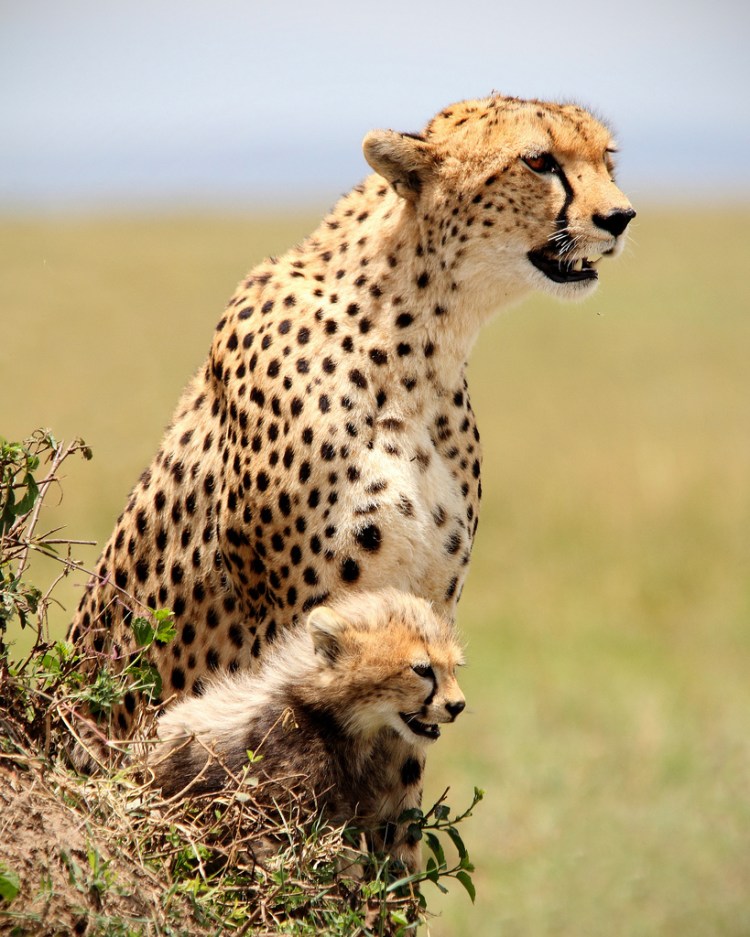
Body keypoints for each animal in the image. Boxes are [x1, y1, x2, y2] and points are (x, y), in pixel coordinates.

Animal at [68, 92, 634, 761]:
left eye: (607, 157)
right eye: (540, 161)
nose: (621, 217)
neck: (420, 338)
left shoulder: (431, 603)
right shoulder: (305, 614)